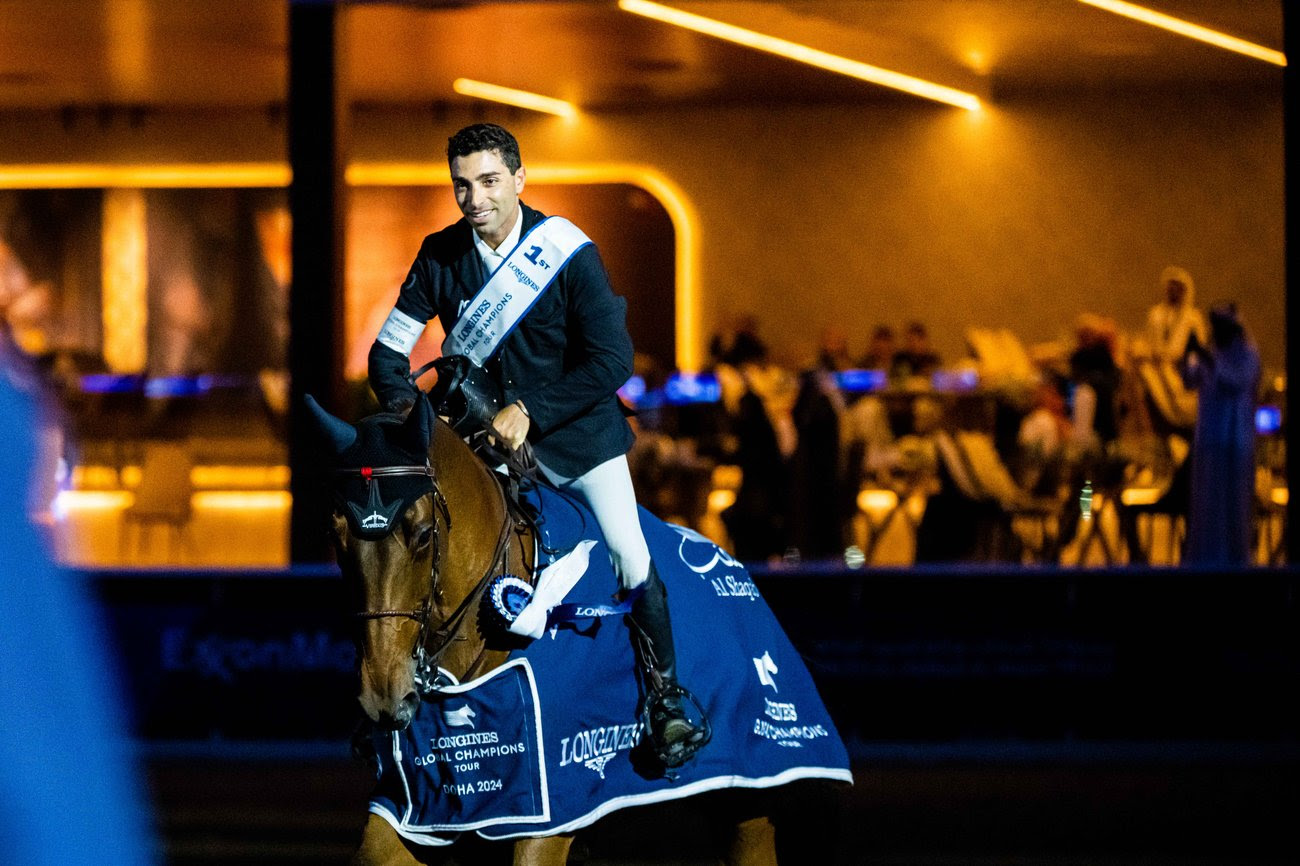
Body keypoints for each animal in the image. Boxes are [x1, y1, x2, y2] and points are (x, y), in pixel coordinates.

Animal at [306, 397, 780, 863]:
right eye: (334, 533)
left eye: (423, 534)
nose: (384, 699)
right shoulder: (422, 808)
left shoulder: (549, 817)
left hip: (749, 806)